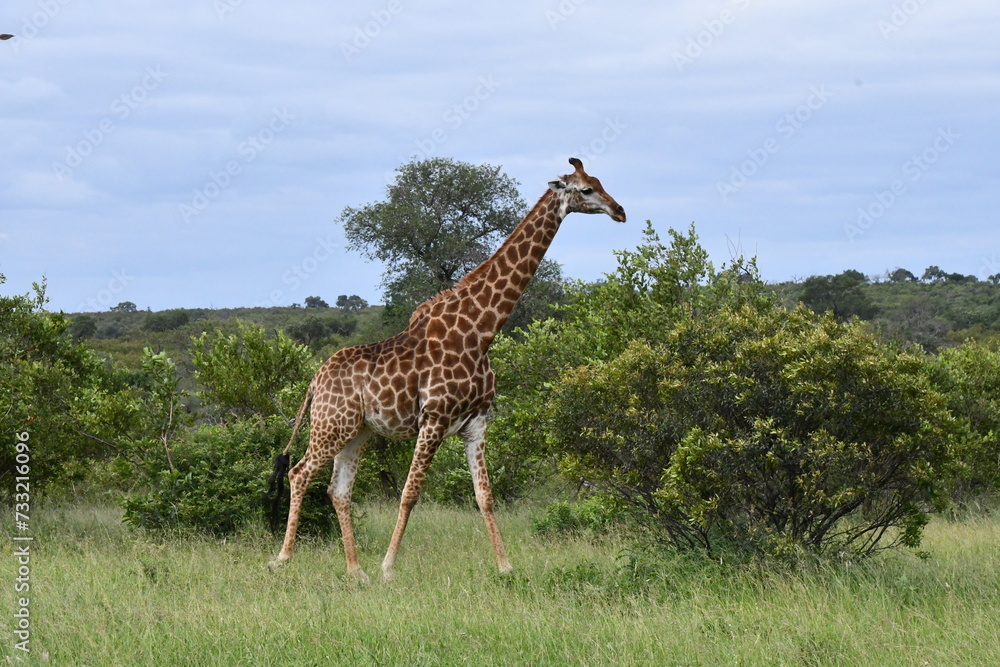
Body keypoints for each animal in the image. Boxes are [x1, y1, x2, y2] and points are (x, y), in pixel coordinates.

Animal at [268, 157, 626, 582]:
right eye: (586, 189)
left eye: (600, 182)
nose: (620, 211)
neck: (480, 330)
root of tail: (314, 381)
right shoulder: (434, 418)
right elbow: (410, 494)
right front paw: (389, 567)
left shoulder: (477, 422)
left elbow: (485, 496)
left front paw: (505, 567)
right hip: (330, 425)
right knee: (300, 473)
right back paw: (283, 559)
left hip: (358, 431)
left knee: (338, 489)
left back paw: (356, 572)